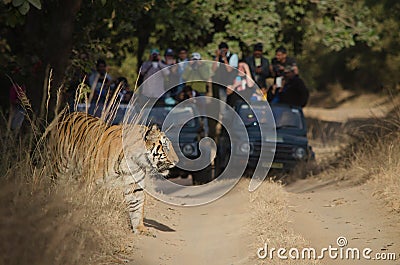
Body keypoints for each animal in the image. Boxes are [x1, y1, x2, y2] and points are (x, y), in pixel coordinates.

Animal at [48, 110, 178, 232]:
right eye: (165, 147)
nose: (177, 161)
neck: (136, 160)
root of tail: (70, 114)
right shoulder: (89, 181)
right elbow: (84, 201)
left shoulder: (134, 184)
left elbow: (137, 205)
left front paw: (140, 229)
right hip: (61, 166)